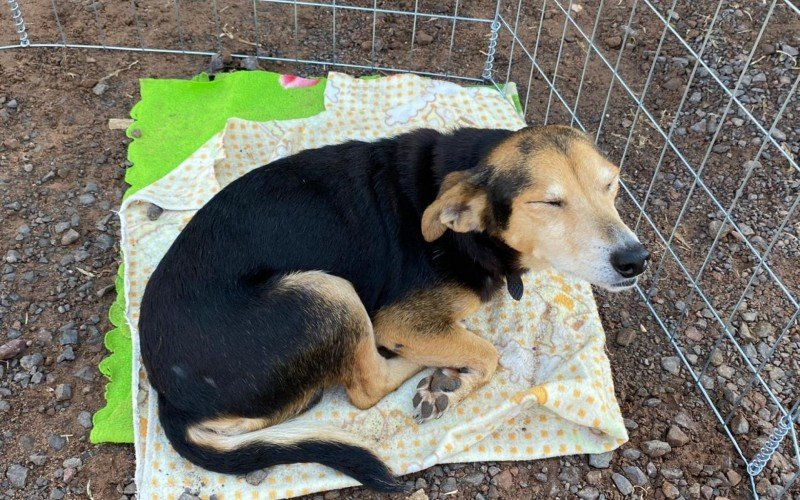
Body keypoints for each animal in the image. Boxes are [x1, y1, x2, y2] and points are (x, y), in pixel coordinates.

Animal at [138, 125, 648, 492]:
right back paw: (416, 369)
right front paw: (447, 387)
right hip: (329, 293)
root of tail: (168, 398)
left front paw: (449, 382)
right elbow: (489, 354)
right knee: (366, 389)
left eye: (611, 185)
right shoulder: (400, 321)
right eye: (549, 202)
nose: (636, 260)